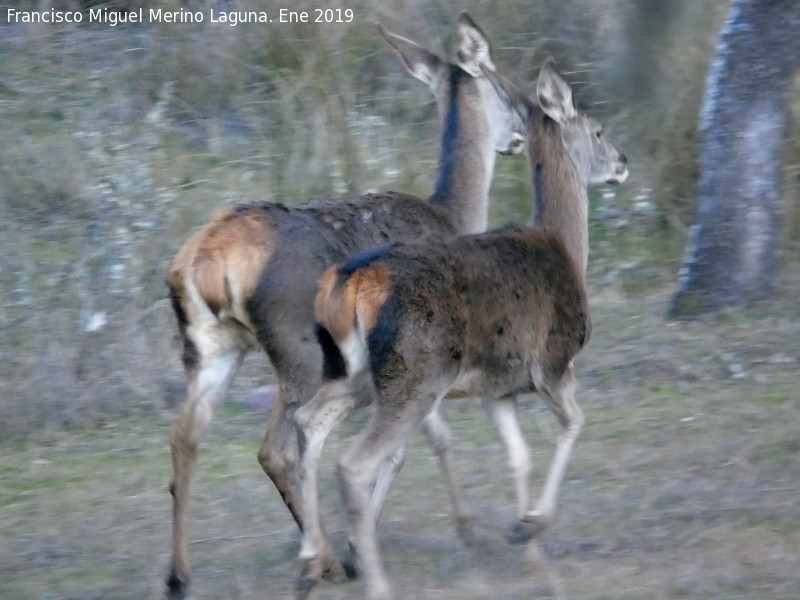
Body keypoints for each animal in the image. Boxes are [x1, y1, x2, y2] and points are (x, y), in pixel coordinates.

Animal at [162, 15, 524, 600]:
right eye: (505, 87)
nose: (518, 135)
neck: (453, 215)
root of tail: (206, 260)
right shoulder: (425, 339)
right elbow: (424, 440)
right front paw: (461, 528)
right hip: (298, 347)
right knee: (281, 445)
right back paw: (323, 561)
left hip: (209, 347)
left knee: (184, 435)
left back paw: (180, 574)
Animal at [290, 57, 628, 600]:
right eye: (597, 129)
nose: (622, 160)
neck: (567, 249)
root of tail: (351, 281)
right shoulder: (553, 363)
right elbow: (575, 424)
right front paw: (532, 526)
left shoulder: (499, 387)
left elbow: (519, 455)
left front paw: (526, 543)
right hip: (415, 373)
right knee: (354, 463)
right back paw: (373, 579)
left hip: (354, 374)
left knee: (307, 423)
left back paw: (311, 565)